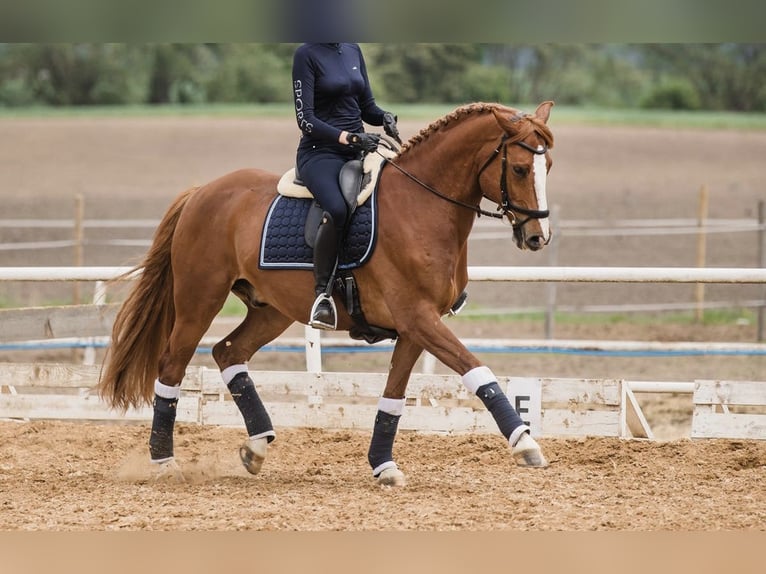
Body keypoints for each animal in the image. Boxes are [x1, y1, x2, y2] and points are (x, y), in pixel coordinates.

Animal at [100, 100, 560, 486]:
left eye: (548, 166)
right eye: (521, 169)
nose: (538, 237)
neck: (422, 206)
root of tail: (202, 192)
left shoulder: (415, 327)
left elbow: (394, 396)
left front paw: (383, 465)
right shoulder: (418, 317)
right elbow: (477, 370)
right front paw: (525, 443)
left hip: (273, 310)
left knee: (228, 352)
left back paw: (256, 446)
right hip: (200, 301)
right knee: (172, 367)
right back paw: (164, 461)